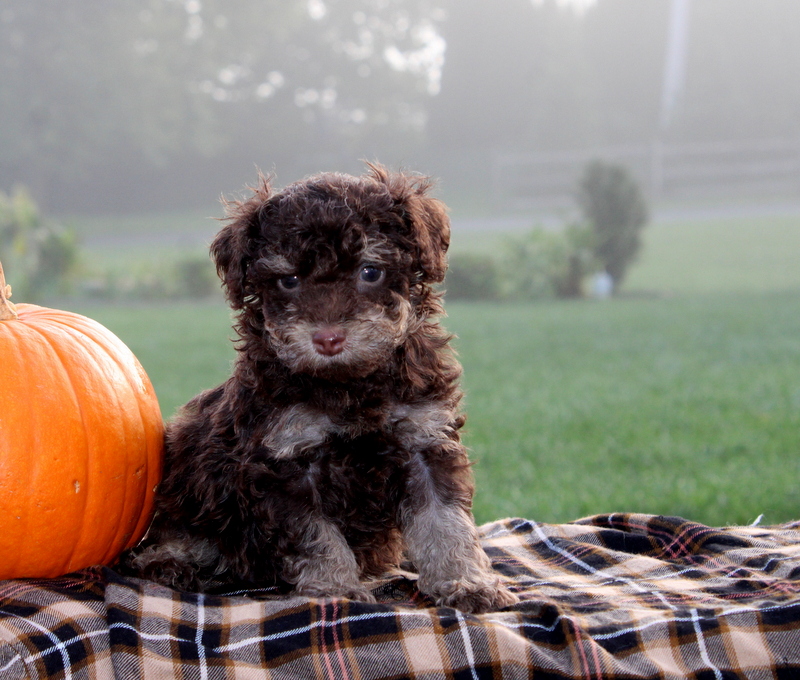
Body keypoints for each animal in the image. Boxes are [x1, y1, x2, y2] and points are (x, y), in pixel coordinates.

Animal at [130, 162, 520, 612]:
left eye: (370, 271)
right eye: (289, 280)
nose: (328, 338)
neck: (350, 383)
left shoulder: (425, 439)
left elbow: (445, 521)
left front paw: (466, 582)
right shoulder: (286, 460)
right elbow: (316, 536)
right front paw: (337, 588)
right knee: (170, 540)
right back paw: (173, 563)